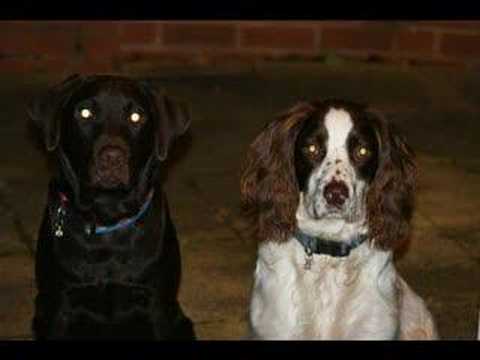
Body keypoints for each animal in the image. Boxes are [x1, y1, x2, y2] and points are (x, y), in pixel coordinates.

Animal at [28, 74, 196, 340]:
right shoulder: (58, 309)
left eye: (136, 117)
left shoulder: (158, 307)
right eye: (85, 113)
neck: (107, 217)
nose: (112, 158)